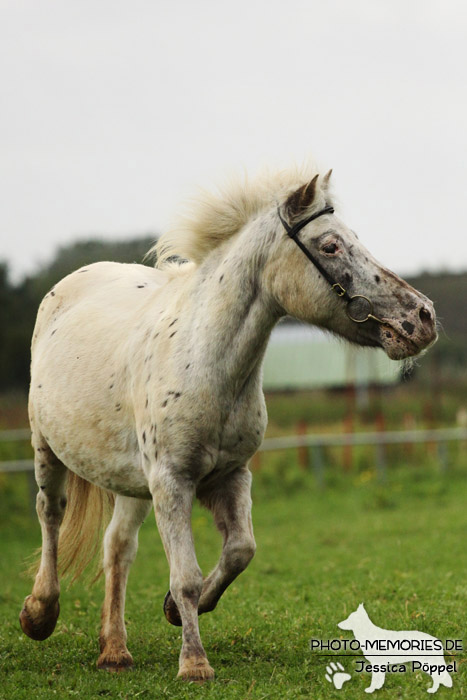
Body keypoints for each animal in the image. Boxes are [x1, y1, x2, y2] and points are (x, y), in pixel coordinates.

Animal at [20, 164, 436, 680]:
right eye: (330, 246)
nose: (423, 317)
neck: (204, 362)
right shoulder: (172, 482)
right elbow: (186, 576)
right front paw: (194, 662)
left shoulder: (232, 476)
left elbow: (240, 551)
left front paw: (178, 611)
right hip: (48, 449)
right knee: (51, 514)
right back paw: (39, 613)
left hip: (130, 480)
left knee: (117, 547)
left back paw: (114, 650)